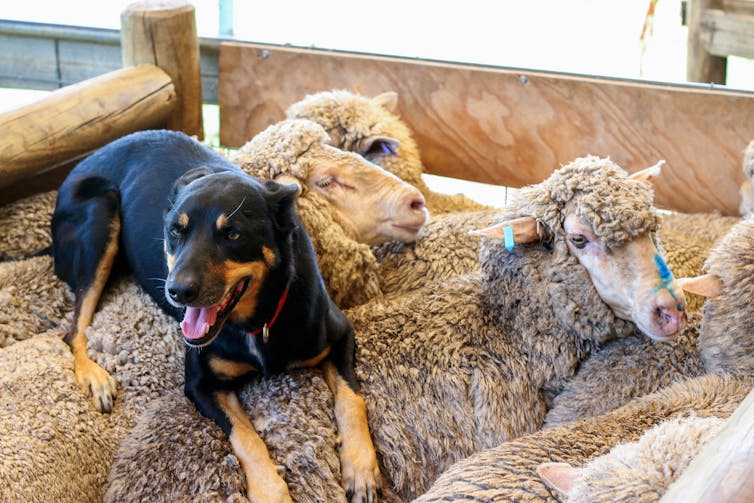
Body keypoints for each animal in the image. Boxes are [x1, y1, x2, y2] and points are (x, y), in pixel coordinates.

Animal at [52, 131, 378, 503]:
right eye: (174, 231)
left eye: (233, 234)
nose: (177, 291)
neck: (258, 321)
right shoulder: (200, 383)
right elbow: (245, 435)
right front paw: (271, 491)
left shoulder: (340, 334)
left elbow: (352, 398)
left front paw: (360, 466)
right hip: (101, 214)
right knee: (72, 329)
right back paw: (94, 377)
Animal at [103, 156, 684, 502]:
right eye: (579, 239)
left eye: (653, 225)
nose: (671, 310)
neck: (510, 327)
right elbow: (247, 432)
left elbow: (350, 400)